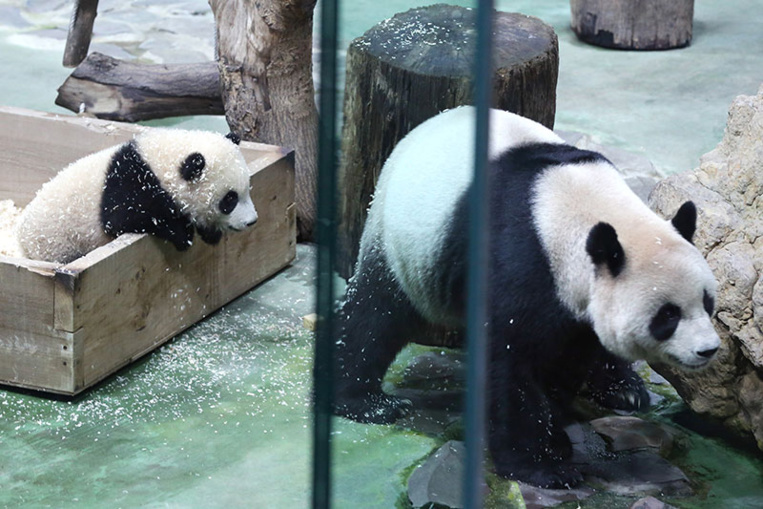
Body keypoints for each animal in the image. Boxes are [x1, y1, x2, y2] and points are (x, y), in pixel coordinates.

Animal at [17, 129, 258, 264]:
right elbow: (124, 218)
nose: (252, 221)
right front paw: (182, 234)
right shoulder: (130, 184)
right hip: (57, 244)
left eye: (247, 188)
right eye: (230, 199)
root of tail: (22, 242)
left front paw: (209, 232)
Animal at [333, 106, 720, 488]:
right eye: (667, 315)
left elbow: (569, 359)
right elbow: (509, 366)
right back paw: (367, 403)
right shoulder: (518, 259)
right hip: (402, 241)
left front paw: (557, 435)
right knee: (376, 315)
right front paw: (542, 467)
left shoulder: (573, 306)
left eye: (707, 302)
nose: (708, 350)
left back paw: (624, 389)